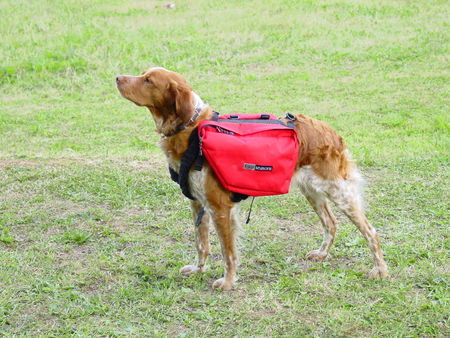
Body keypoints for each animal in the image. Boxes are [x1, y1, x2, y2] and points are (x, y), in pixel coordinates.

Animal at [118, 66, 388, 290]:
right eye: (143, 74)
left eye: (148, 80)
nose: (117, 77)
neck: (192, 132)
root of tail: (331, 132)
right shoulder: (197, 203)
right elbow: (201, 244)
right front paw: (197, 270)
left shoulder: (219, 207)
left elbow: (228, 252)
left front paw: (227, 283)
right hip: (312, 191)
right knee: (330, 224)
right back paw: (322, 255)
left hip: (338, 191)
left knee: (370, 231)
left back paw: (380, 270)